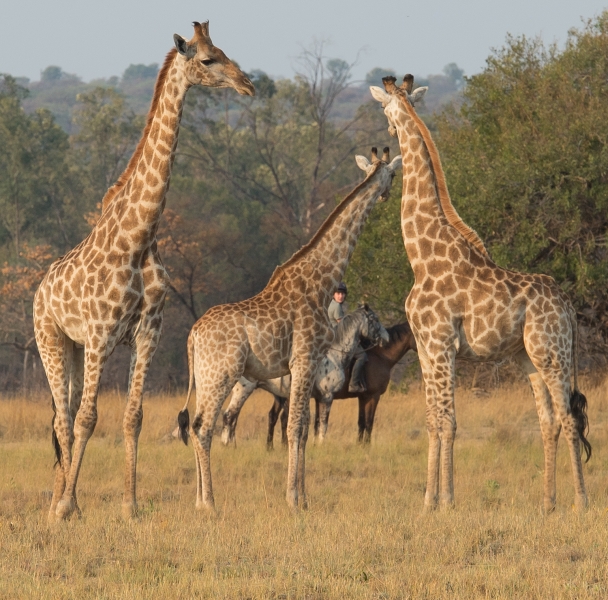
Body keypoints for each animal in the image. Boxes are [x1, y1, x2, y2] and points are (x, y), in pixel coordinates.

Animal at [33, 21, 252, 524]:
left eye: (224, 50)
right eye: (207, 59)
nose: (247, 84)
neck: (139, 238)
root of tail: (39, 289)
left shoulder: (147, 333)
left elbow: (132, 417)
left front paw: (129, 505)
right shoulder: (100, 334)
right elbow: (88, 418)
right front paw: (70, 505)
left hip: (73, 348)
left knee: (61, 416)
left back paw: (59, 498)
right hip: (50, 339)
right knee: (64, 419)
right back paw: (60, 505)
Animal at [268, 324, 416, 446]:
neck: (381, 356)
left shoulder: (363, 397)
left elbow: (361, 421)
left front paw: (359, 444)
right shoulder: (373, 396)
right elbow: (369, 422)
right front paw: (367, 446)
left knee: (274, 416)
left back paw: (272, 446)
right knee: (285, 418)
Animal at [368, 75, 592, 512]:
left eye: (385, 109)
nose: (387, 132)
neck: (422, 256)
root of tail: (567, 307)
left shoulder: (442, 345)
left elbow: (449, 422)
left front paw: (447, 501)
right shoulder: (425, 349)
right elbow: (432, 421)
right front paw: (428, 502)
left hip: (552, 353)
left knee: (569, 417)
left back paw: (580, 502)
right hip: (529, 358)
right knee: (548, 420)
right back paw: (547, 504)